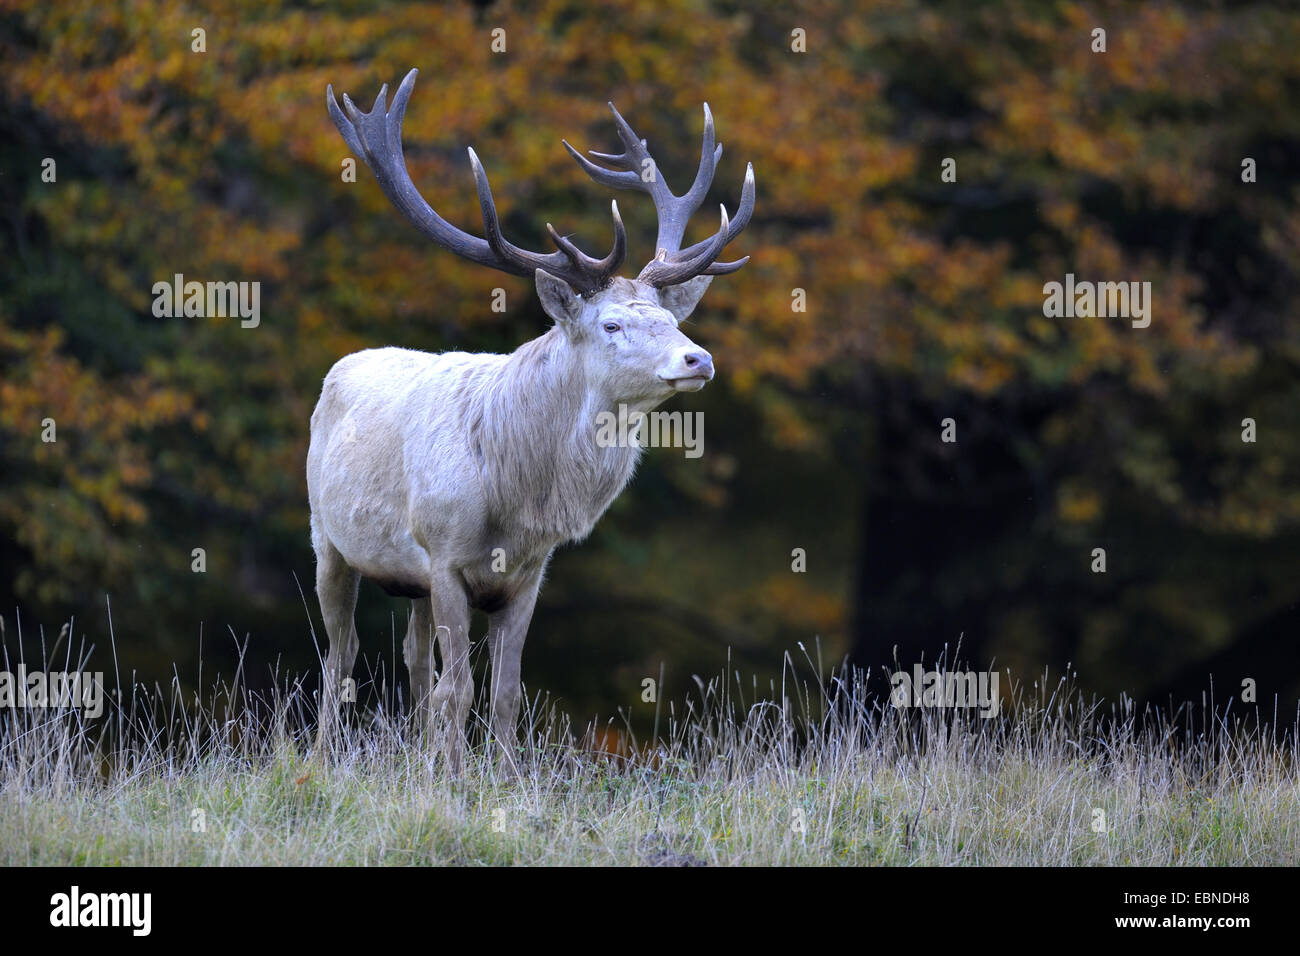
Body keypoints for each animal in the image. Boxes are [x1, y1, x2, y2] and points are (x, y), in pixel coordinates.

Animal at [312, 67, 754, 770]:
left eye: (671, 318)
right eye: (612, 324)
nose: (699, 357)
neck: (515, 501)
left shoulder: (528, 574)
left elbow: (506, 691)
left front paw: (500, 775)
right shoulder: (445, 555)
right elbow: (459, 689)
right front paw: (451, 778)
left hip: (407, 578)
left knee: (412, 659)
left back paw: (414, 755)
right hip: (327, 536)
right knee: (343, 654)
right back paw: (321, 758)